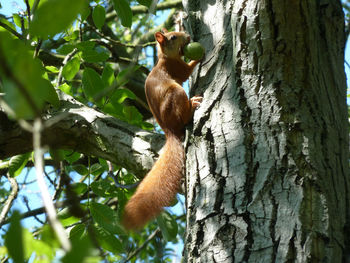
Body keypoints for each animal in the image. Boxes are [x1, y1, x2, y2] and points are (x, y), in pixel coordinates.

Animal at [121, 29, 202, 231]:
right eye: (173, 38)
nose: (188, 36)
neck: (165, 59)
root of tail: (169, 130)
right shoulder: (176, 68)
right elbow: (187, 70)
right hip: (176, 94)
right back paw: (192, 105)